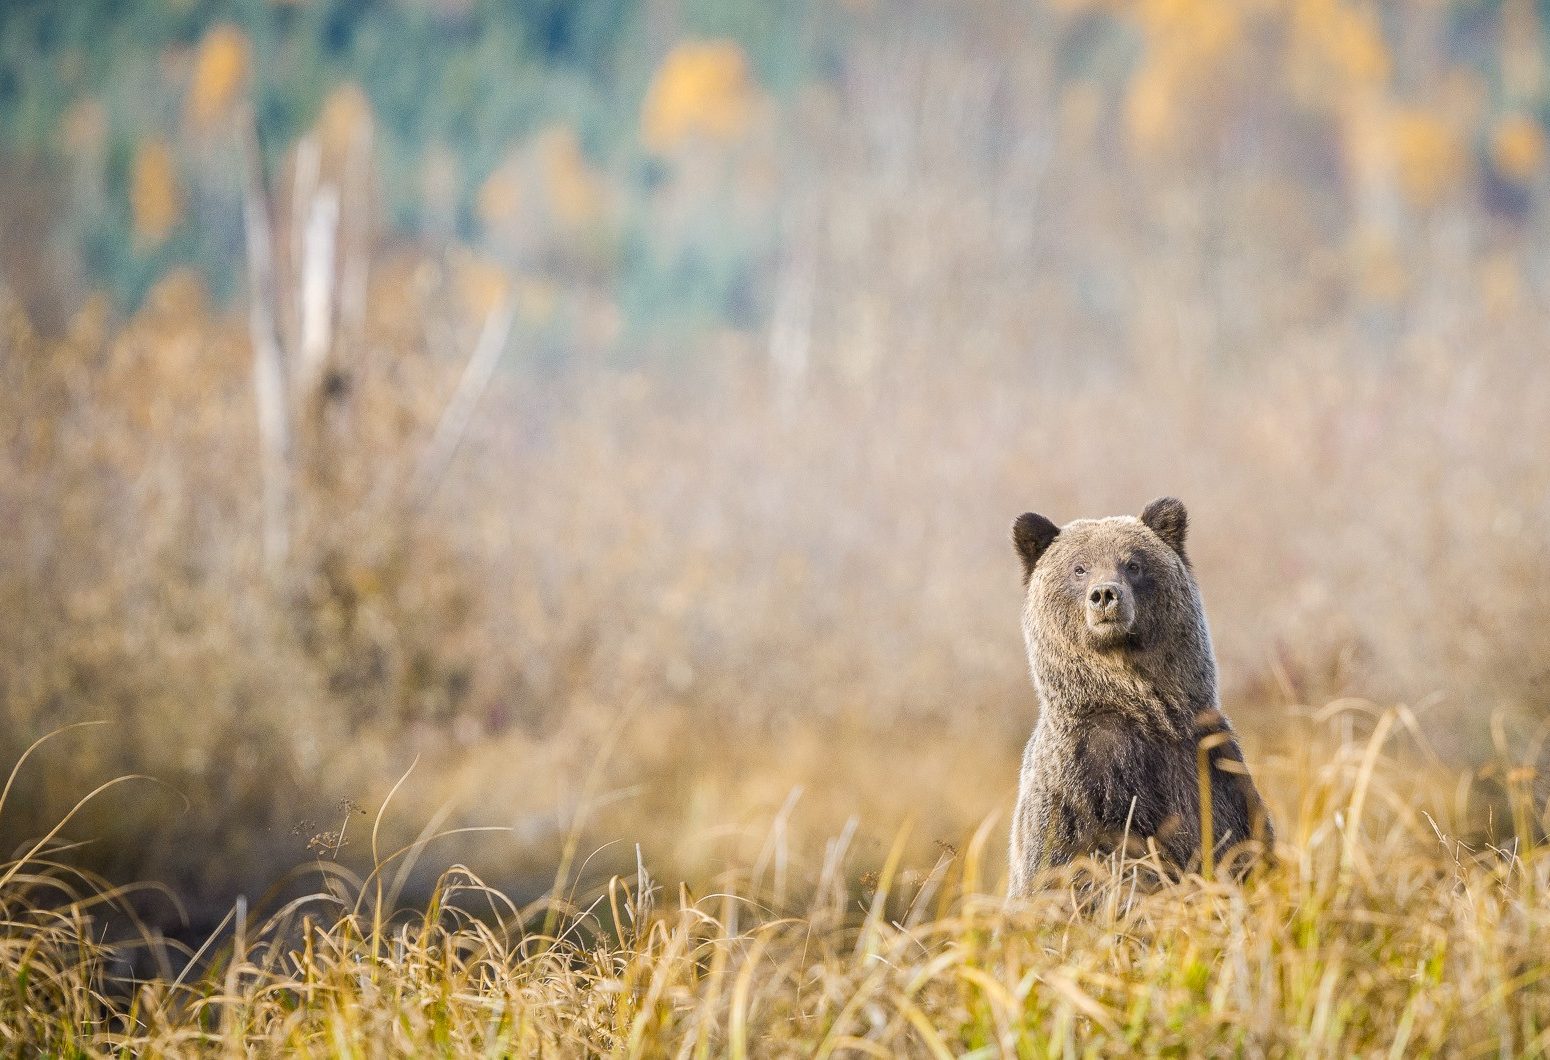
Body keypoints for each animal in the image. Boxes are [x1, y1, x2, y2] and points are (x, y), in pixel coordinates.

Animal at [1006, 497, 1272, 898]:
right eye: (1079, 568)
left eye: (1133, 564)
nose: (1105, 594)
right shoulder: (1081, 781)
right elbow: (1079, 868)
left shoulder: (1207, 762)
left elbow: (1236, 843)